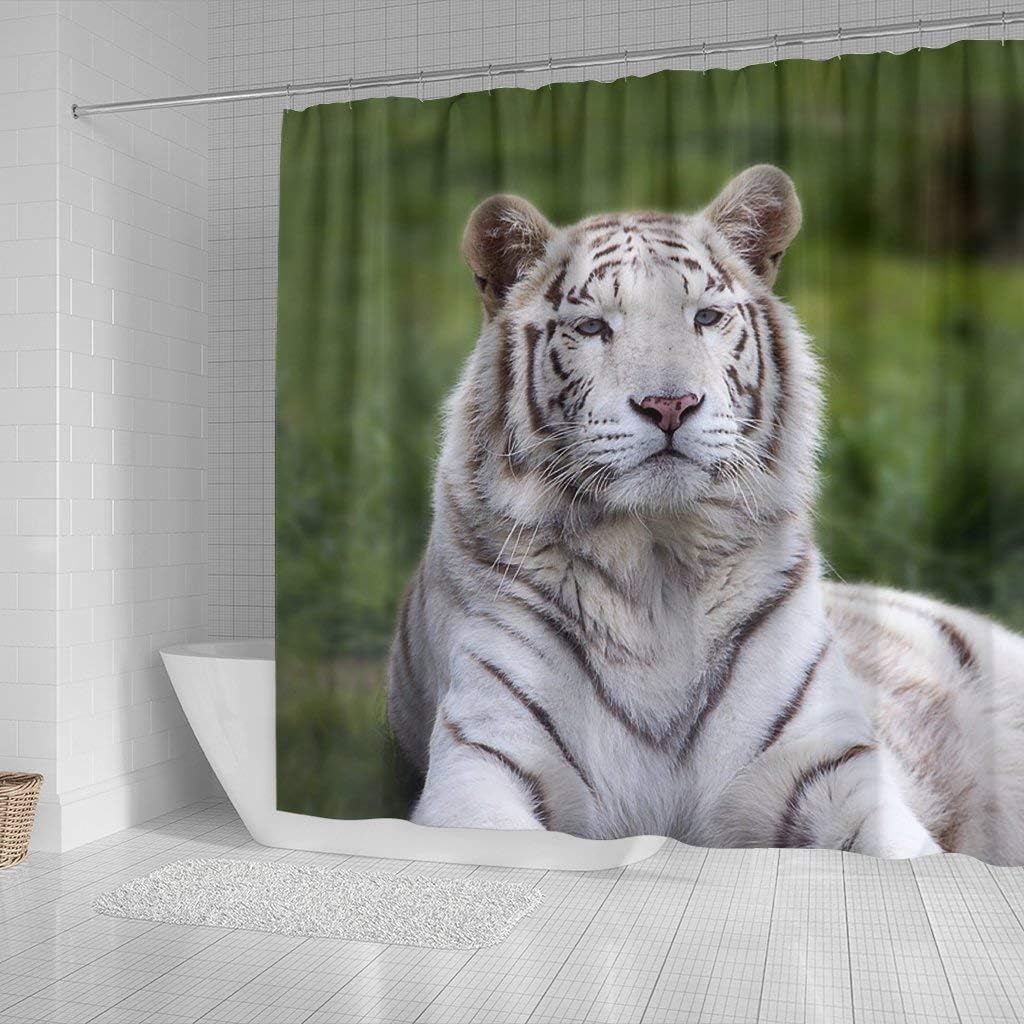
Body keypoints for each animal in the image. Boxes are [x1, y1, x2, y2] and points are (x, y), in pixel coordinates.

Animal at [387, 164, 1024, 864]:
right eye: (593, 327)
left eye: (707, 317)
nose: (670, 404)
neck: (656, 566)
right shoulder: (484, 764)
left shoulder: (830, 765)